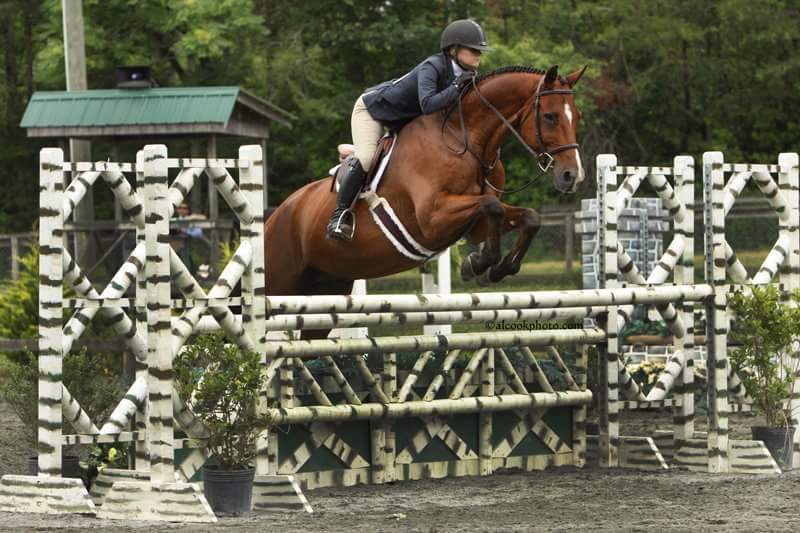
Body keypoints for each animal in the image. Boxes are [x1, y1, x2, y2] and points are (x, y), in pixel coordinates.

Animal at [263, 65, 586, 334]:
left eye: (577, 117)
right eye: (550, 116)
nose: (572, 176)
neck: (464, 140)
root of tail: (275, 216)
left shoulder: (474, 226)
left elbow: (529, 217)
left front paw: (494, 268)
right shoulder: (433, 219)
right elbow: (491, 206)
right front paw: (479, 263)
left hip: (327, 291)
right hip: (280, 282)